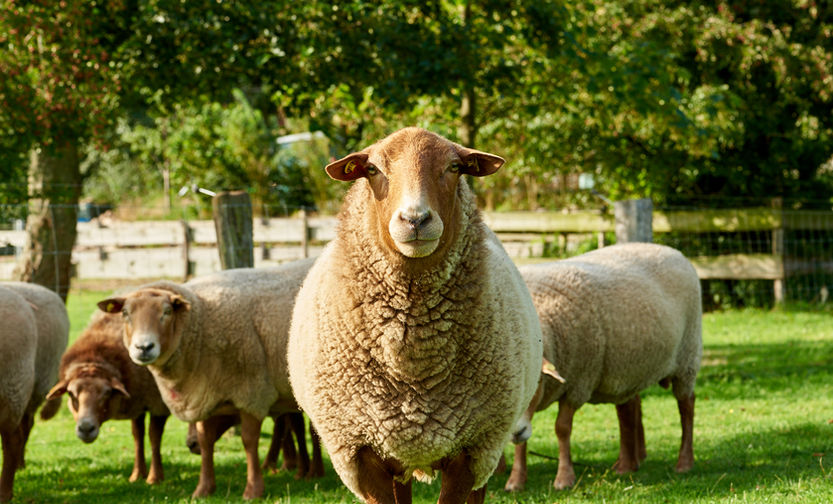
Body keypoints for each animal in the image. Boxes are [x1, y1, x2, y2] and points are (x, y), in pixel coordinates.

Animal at [42, 310, 170, 484]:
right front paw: (137, 475)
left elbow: (154, 436)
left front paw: (154, 478)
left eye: (106, 393)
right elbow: (138, 435)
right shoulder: (138, 402)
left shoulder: (158, 403)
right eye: (71, 394)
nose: (86, 428)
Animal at [98, 258, 315, 499]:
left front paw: (253, 490)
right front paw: (203, 489)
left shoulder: (252, 392)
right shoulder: (204, 394)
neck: (201, 316)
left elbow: (249, 441)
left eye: (166, 312)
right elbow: (205, 441)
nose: (144, 347)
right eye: (125, 313)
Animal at [287, 127, 543, 504]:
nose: (416, 220)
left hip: (487, 446)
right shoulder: (361, 452)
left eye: (455, 167)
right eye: (373, 170)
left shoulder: (472, 449)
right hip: (397, 448)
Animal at [504, 242, 702, 491]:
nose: (515, 430)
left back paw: (684, 462)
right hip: (630, 365)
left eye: (536, 381)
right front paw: (516, 481)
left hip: (687, 358)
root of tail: (670, 250)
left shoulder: (579, 383)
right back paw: (628, 463)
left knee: (686, 406)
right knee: (630, 407)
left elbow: (562, 429)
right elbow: (521, 443)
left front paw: (564, 478)